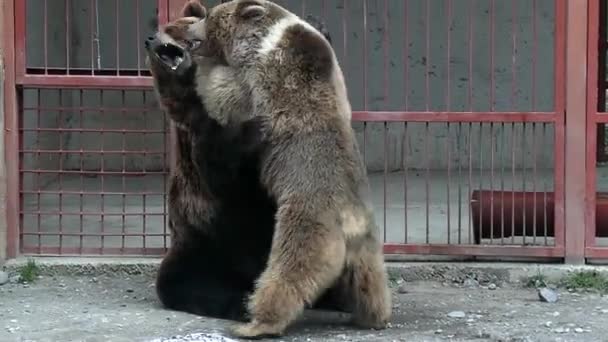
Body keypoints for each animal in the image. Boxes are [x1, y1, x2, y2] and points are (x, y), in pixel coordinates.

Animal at [141, 0, 342, 322]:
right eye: (166, 29)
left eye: (175, 27)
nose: (151, 39)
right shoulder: (204, 140)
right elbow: (227, 171)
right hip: (204, 243)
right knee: (182, 279)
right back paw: (242, 301)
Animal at [184, 0, 394, 336]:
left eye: (210, 16)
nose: (191, 29)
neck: (267, 37)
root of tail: (349, 220)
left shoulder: (264, 79)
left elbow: (227, 93)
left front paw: (198, 67)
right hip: (367, 246)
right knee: (369, 280)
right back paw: (373, 316)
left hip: (307, 223)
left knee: (290, 273)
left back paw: (255, 323)